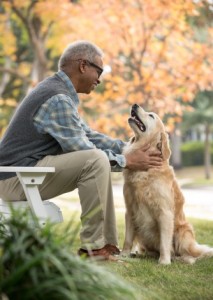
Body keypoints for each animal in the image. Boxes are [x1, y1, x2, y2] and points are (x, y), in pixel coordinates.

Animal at [121, 103, 213, 264]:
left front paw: (164, 261)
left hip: (183, 232)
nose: (135, 105)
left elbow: (165, 241)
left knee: (189, 253)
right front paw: (123, 255)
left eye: (151, 115)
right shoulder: (130, 210)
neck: (145, 170)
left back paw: (184, 259)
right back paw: (139, 253)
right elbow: (128, 238)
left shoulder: (164, 212)